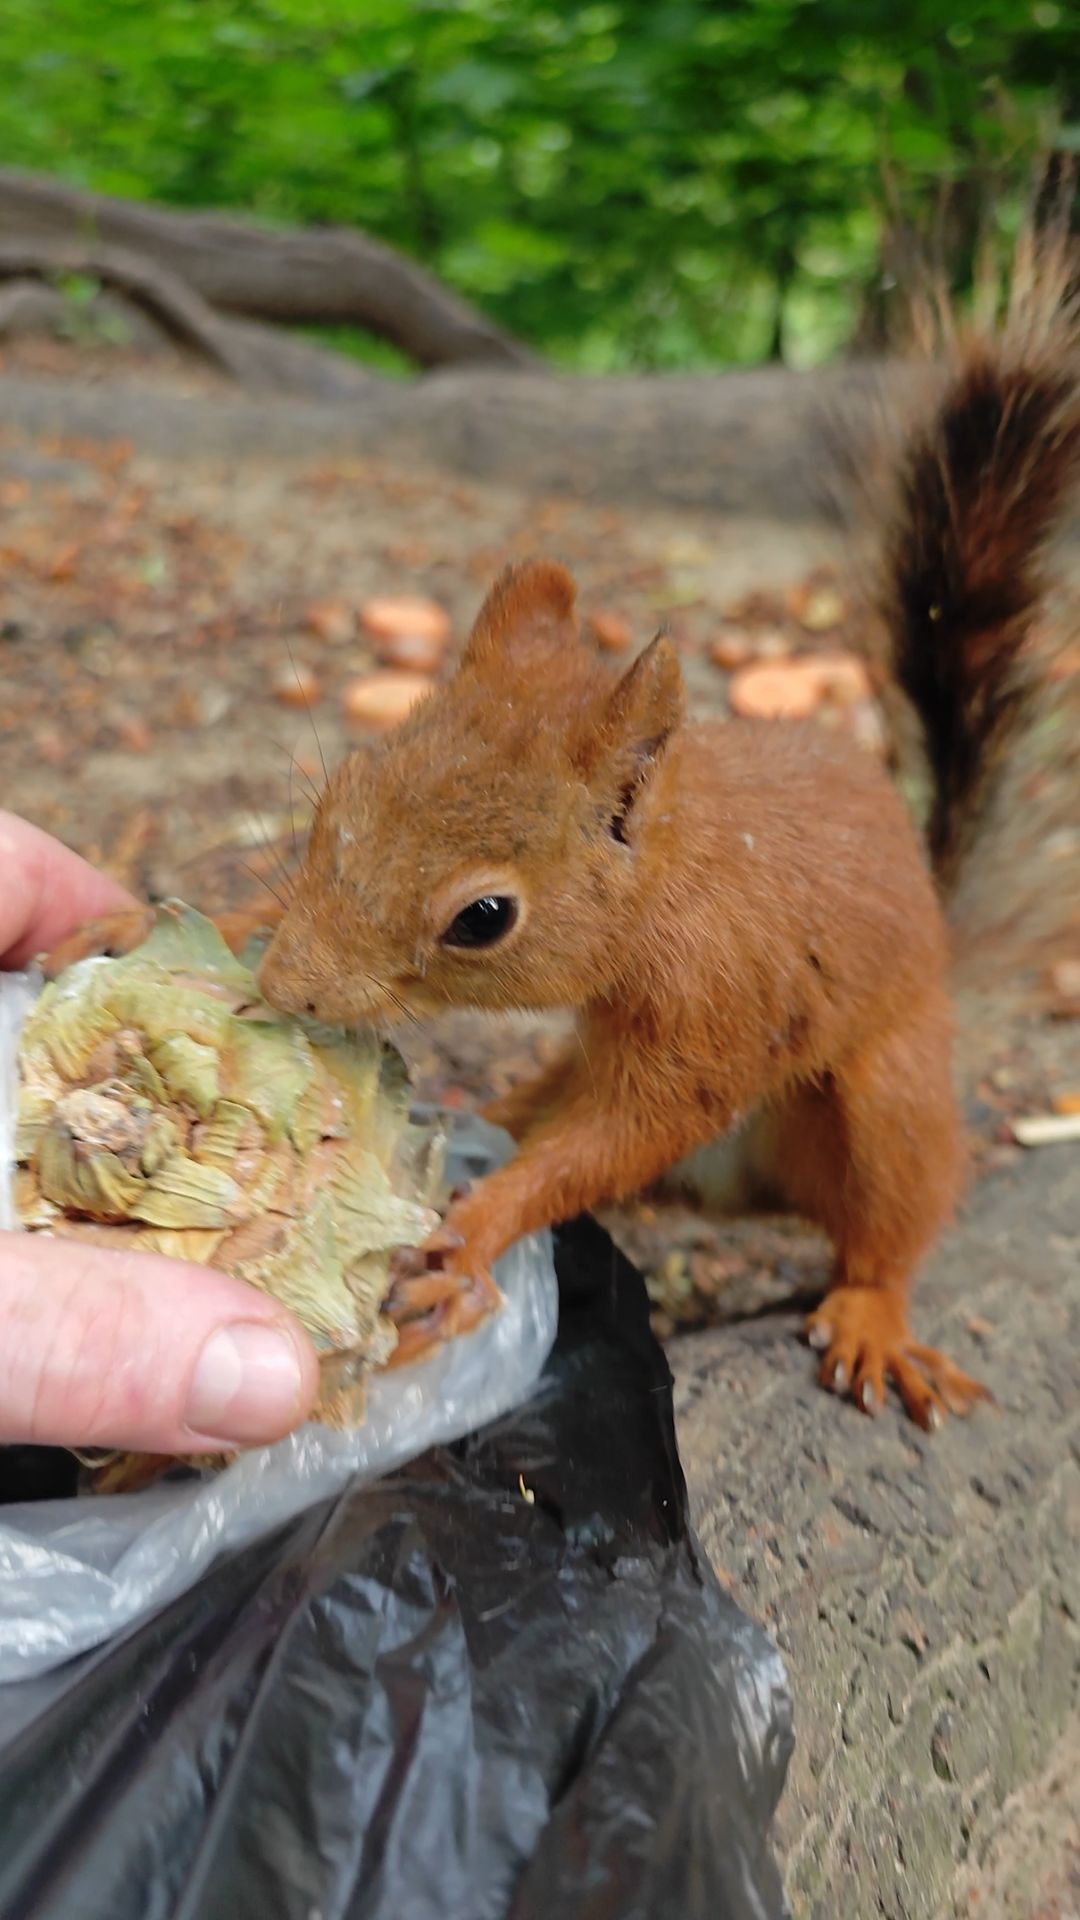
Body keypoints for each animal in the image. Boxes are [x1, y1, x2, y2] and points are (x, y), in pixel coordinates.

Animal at [46, 260, 1080, 1429]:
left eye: (484, 918)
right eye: (337, 796)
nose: (289, 988)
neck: (676, 879)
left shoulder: (715, 1010)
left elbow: (626, 1134)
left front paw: (473, 1233)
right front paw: (139, 920)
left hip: (889, 1085)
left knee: (894, 1215)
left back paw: (874, 1316)